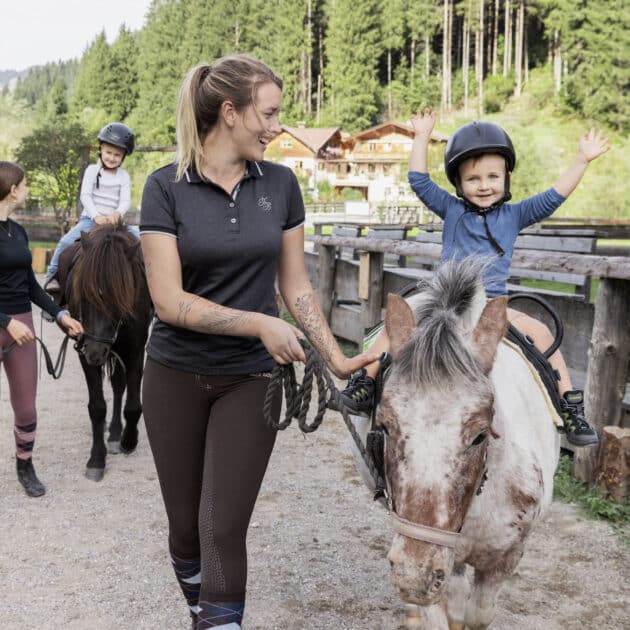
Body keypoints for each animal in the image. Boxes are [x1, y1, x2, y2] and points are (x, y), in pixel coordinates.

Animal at [59, 223, 153, 484]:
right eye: (83, 294)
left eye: (119, 297)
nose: (95, 351)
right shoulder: (83, 351)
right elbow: (97, 407)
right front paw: (96, 459)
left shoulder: (135, 350)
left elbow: (133, 404)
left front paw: (128, 441)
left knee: (120, 386)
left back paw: (116, 434)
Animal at [380, 260, 564, 628]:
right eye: (386, 427)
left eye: (480, 435)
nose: (414, 575)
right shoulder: (438, 563)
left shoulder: (504, 560)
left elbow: (477, 614)